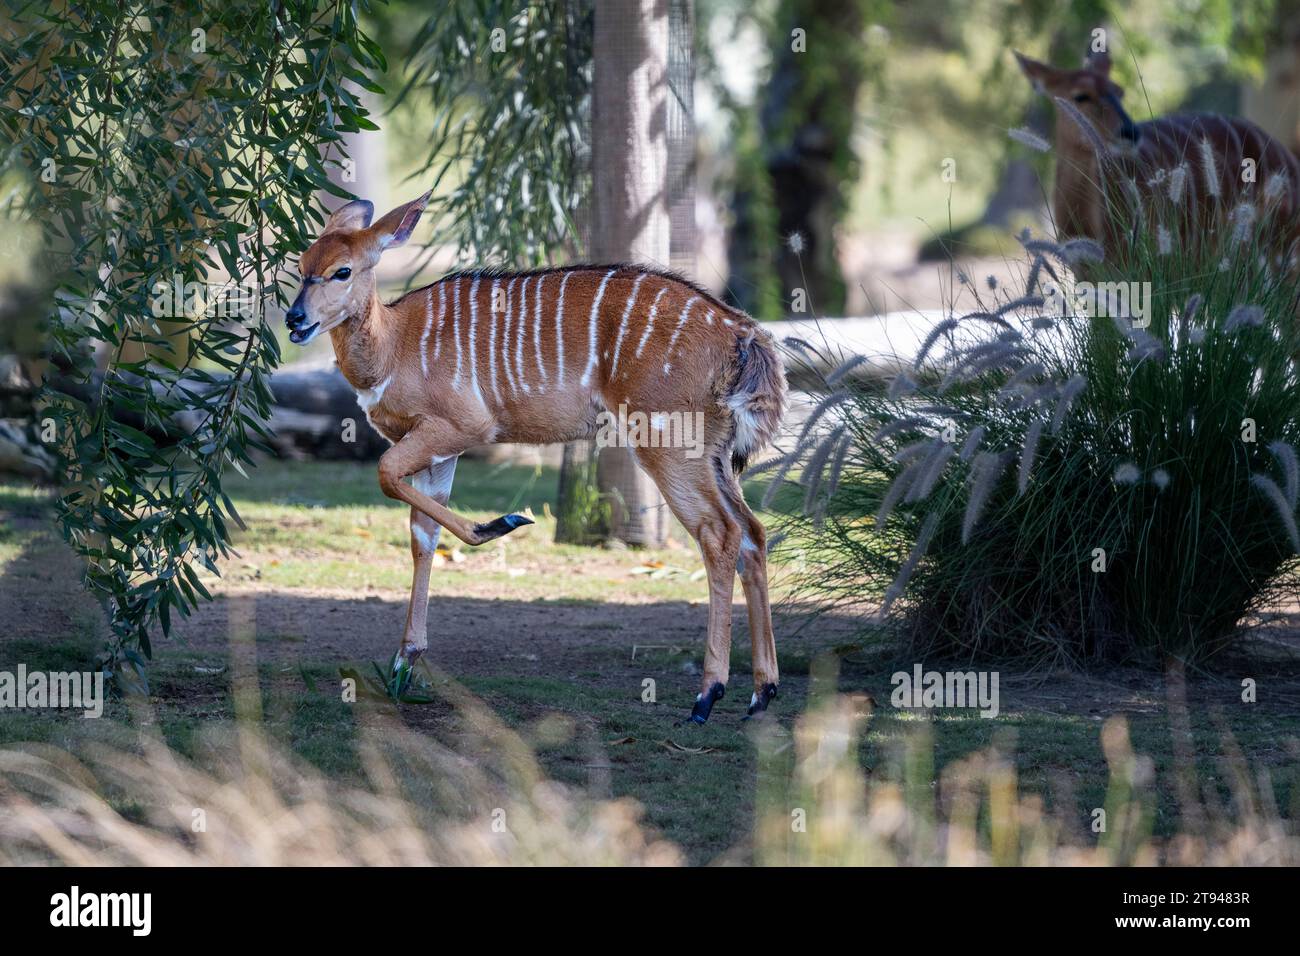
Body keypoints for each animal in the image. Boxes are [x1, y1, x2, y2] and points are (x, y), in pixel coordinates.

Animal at [285, 192, 788, 723]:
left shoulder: (459, 427)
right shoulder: (439, 452)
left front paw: (503, 522)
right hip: (712, 453)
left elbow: (387, 477)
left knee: (719, 533)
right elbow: (423, 537)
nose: (294, 320)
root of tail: (744, 335)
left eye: (341, 271)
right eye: (301, 265)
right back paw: (762, 692)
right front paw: (404, 663)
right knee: (753, 533)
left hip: (666, 439)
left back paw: (707, 695)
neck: (394, 343)